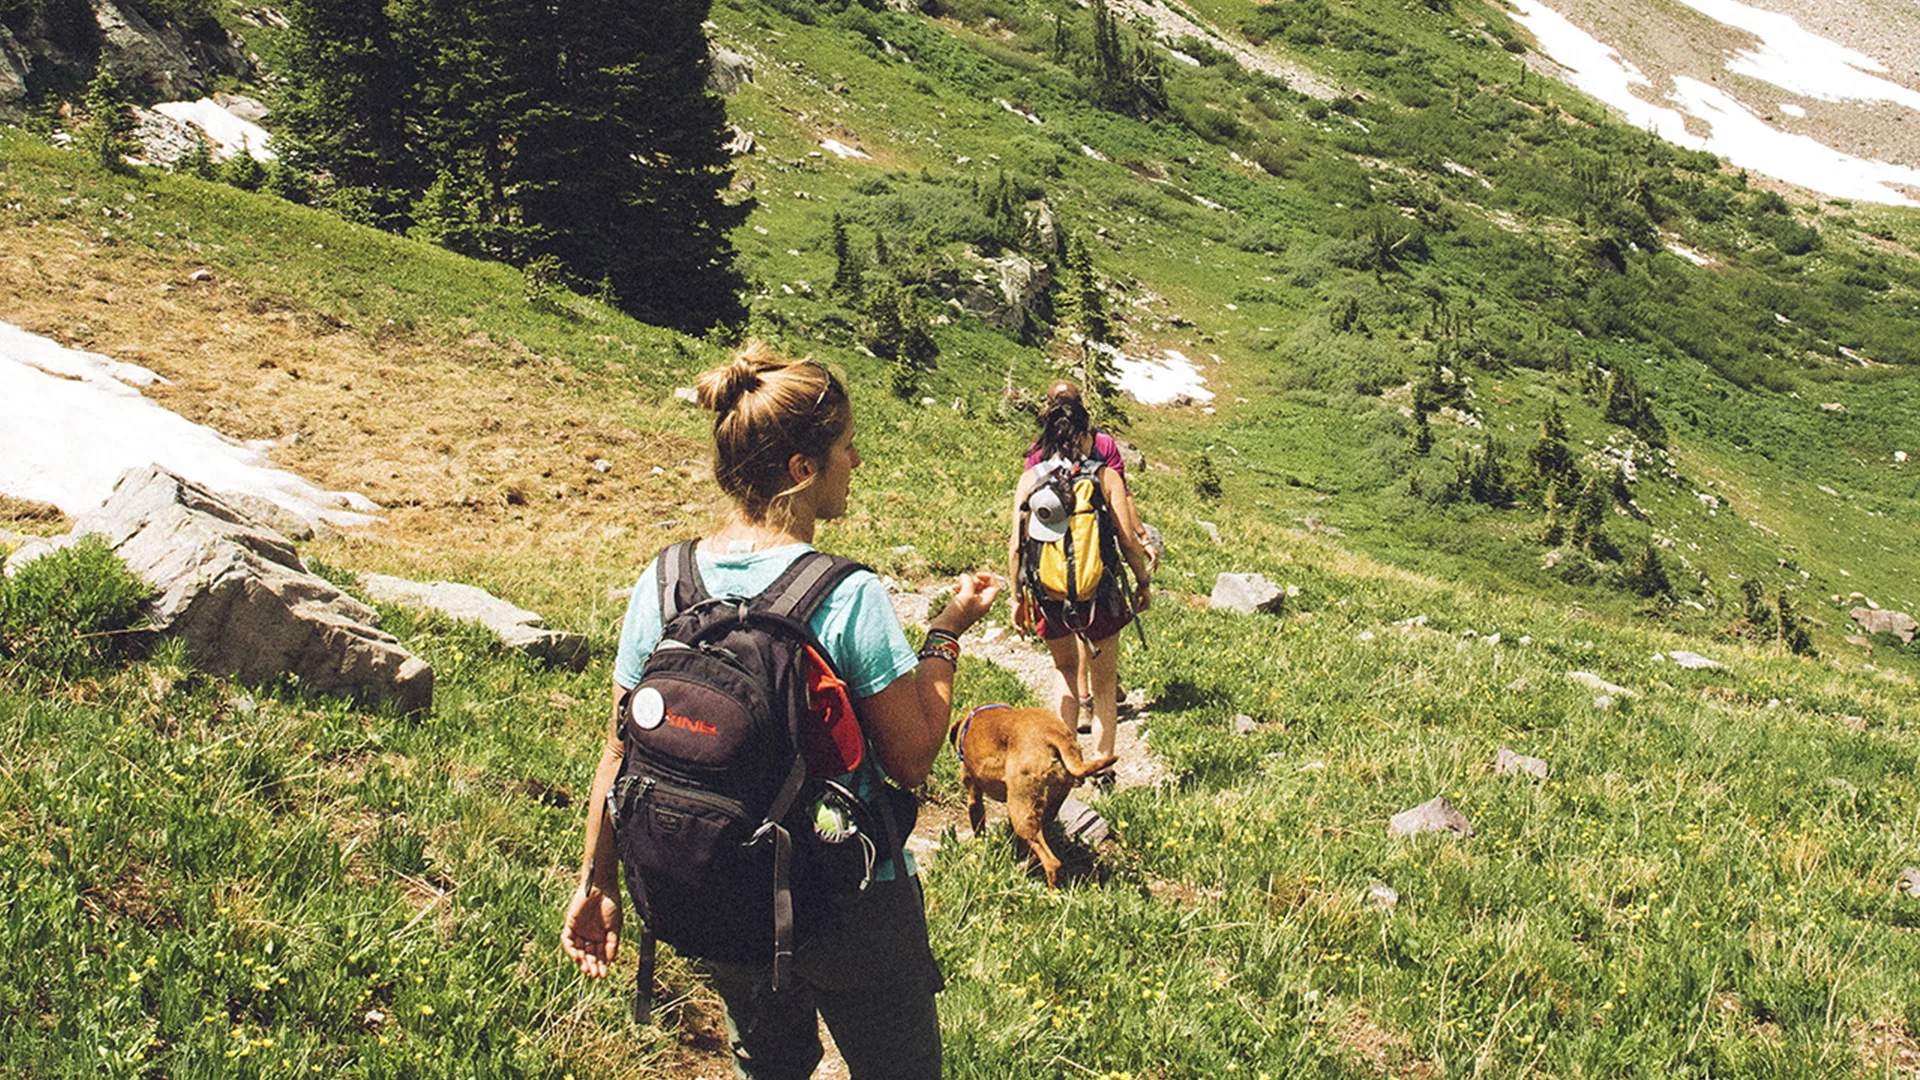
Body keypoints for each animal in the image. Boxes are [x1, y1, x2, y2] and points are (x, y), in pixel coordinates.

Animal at [948, 699, 1121, 883]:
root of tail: (1054, 732)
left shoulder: (974, 796)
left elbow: (979, 831)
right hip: (1043, 810)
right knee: (1040, 849)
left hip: (1020, 811)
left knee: (1052, 863)